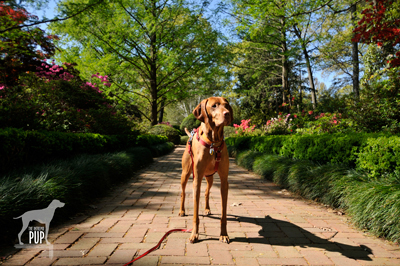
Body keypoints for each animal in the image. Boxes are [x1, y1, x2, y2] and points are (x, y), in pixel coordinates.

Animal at [180, 97, 233, 243]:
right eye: (214, 106)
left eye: (227, 105)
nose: (227, 114)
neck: (214, 142)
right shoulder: (196, 180)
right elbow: (195, 215)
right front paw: (194, 234)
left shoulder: (224, 182)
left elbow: (223, 215)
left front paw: (224, 234)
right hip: (185, 174)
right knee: (183, 193)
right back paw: (182, 211)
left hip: (209, 177)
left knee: (206, 192)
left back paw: (207, 209)